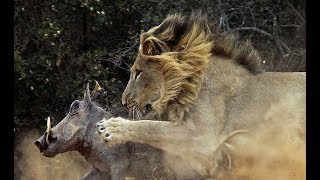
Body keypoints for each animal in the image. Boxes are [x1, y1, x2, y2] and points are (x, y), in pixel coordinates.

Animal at [97, 11, 304, 179]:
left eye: (138, 72)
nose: (124, 102)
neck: (187, 86)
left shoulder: (204, 136)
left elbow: (151, 127)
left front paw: (109, 128)